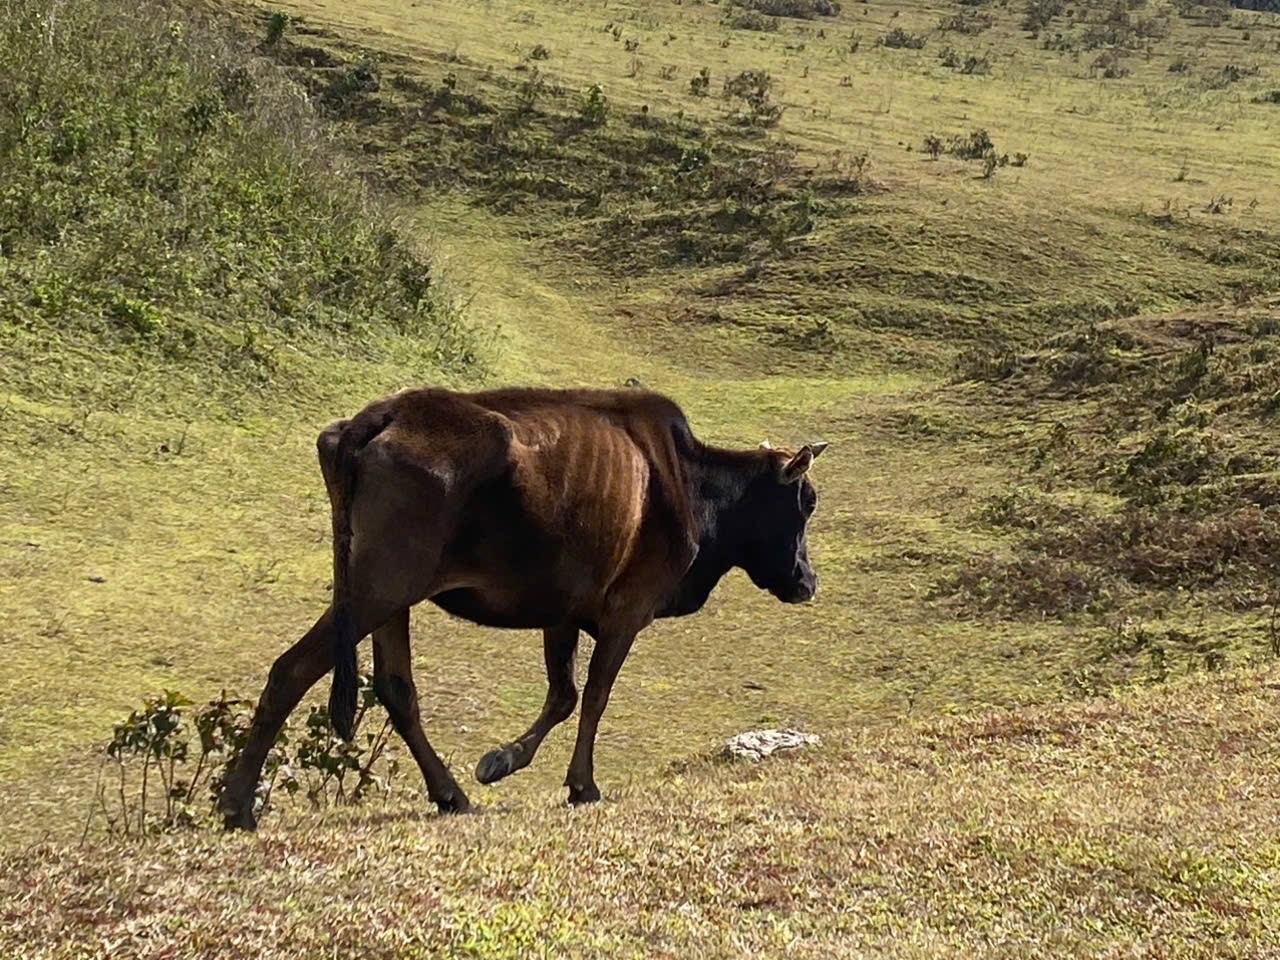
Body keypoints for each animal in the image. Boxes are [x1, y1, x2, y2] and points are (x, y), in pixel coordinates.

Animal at [217, 386, 829, 829]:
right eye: (807, 501)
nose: (807, 581)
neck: (689, 483)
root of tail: (380, 415)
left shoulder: (562, 611)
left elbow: (564, 695)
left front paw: (500, 761)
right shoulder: (627, 609)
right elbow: (595, 697)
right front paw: (582, 785)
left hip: (388, 596)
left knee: (396, 689)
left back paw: (450, 794)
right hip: (377, 589)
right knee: (290, 670)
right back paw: (237, 805)